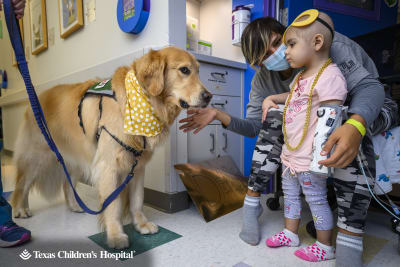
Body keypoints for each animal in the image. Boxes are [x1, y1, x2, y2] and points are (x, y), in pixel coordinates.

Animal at [10, 46, 212, 249]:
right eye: (184, 70)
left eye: (198, 70)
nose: (209, 97)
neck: (142, 100)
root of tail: (36, 98)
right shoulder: (109, 166)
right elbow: (113, 204)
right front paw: (115, 235)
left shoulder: (137, 167)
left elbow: (137, 200)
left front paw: (141, 224)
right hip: (37, 157)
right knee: (22, 184)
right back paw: (20, 209)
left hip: (76, 159)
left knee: (67, 184)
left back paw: (74, 206)